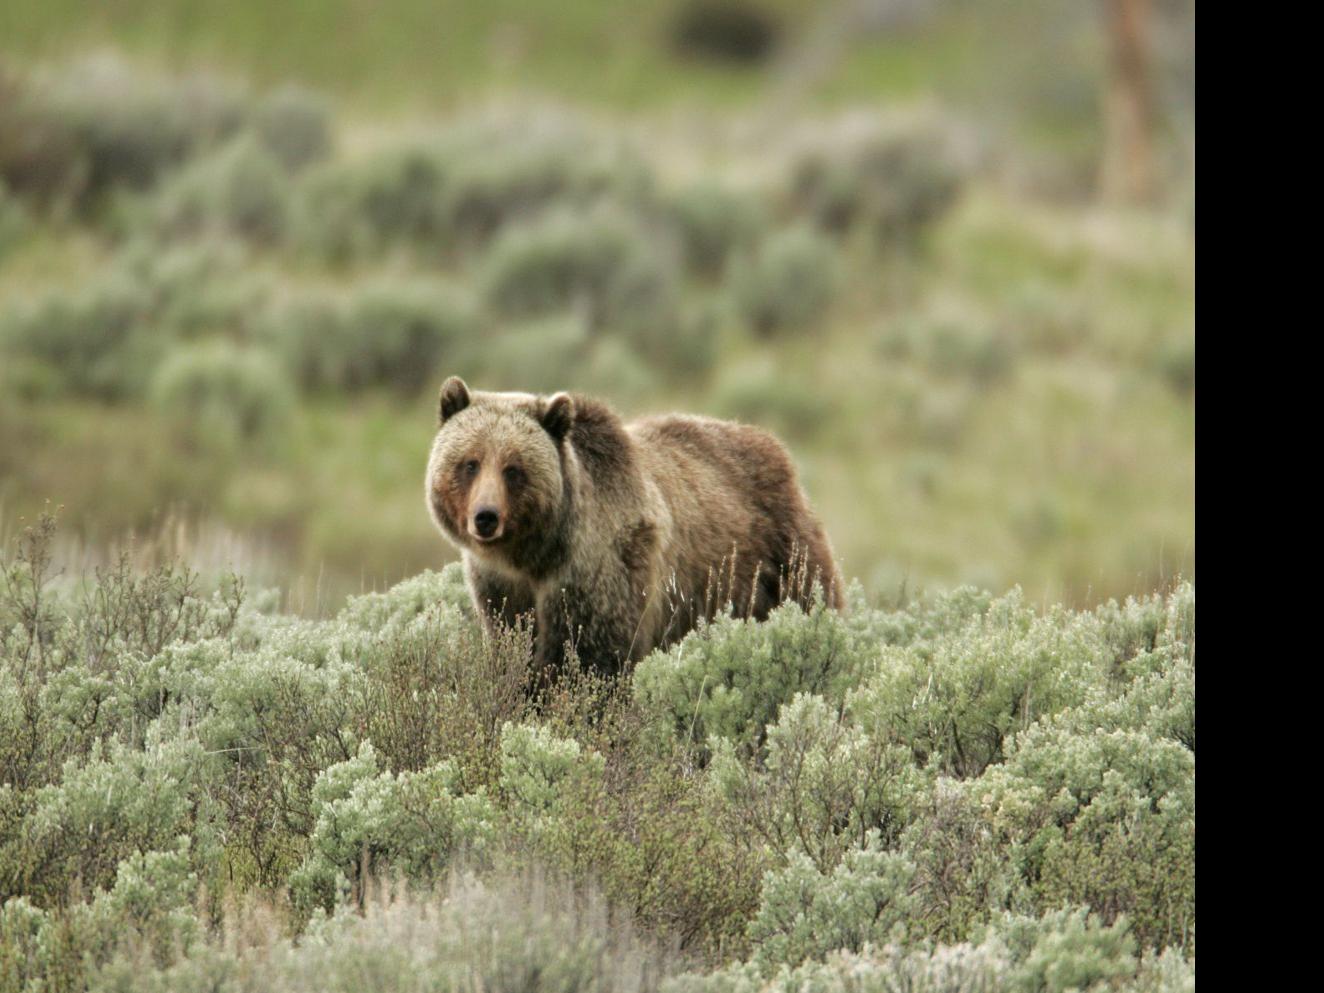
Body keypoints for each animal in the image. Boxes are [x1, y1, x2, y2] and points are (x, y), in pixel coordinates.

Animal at [425, 376, 844, 678]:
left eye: (514, 469)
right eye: (470, 463)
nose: (486, 517)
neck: (535, 554)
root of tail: (775, 447)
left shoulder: (601, 569)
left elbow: (591, 657)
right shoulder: (501, 587)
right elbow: (513, 642)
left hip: (778, 558)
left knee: (811, 597)